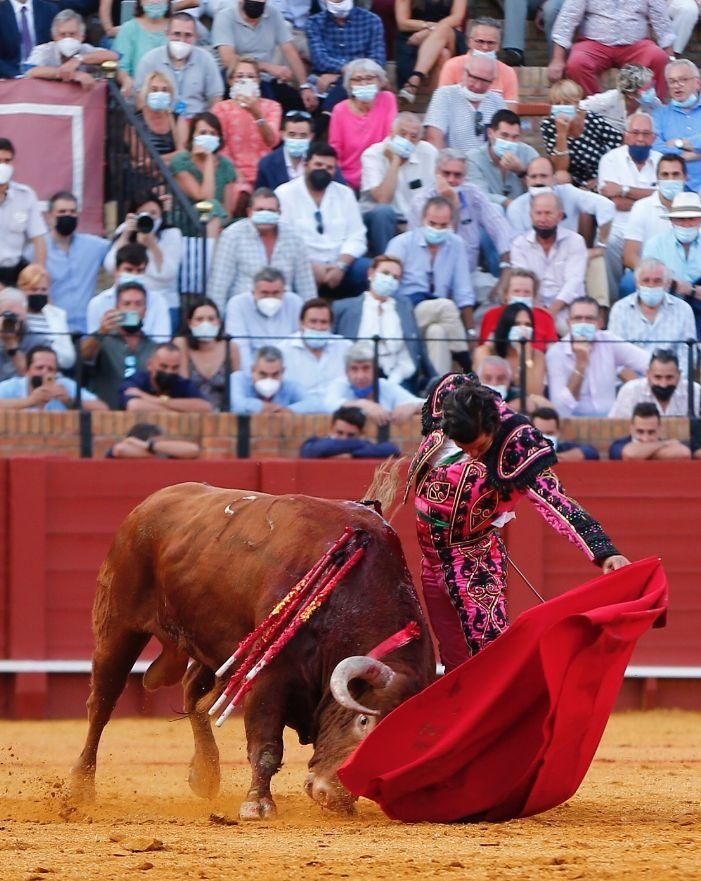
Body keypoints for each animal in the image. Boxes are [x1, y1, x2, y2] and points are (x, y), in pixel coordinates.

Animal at [69, 482, 432, 820]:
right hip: (118, 623)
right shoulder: (270, 675)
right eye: (363, 721)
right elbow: (267, 744)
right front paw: (257, 804)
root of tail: (149, 503)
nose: (335, 797)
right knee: (102, 702)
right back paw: (81, 786)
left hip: (215, 642)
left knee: (194, 695)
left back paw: (205, 774)